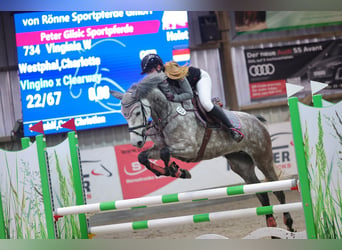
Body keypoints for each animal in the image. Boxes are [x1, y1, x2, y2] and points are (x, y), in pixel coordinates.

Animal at [111, 72, 296, 232]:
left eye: (137, 112)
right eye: (124, 115)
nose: (136, 142)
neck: (167, 113)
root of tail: (257, 120)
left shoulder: (189, 148)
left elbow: (164, 153)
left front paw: (176, 170)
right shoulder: (161, 148)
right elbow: (143, 157)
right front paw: (172, 171)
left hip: (262, 158)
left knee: (277, 189)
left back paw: (288, 224)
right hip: (241, 164)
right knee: (261, 192)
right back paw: (271, 226)